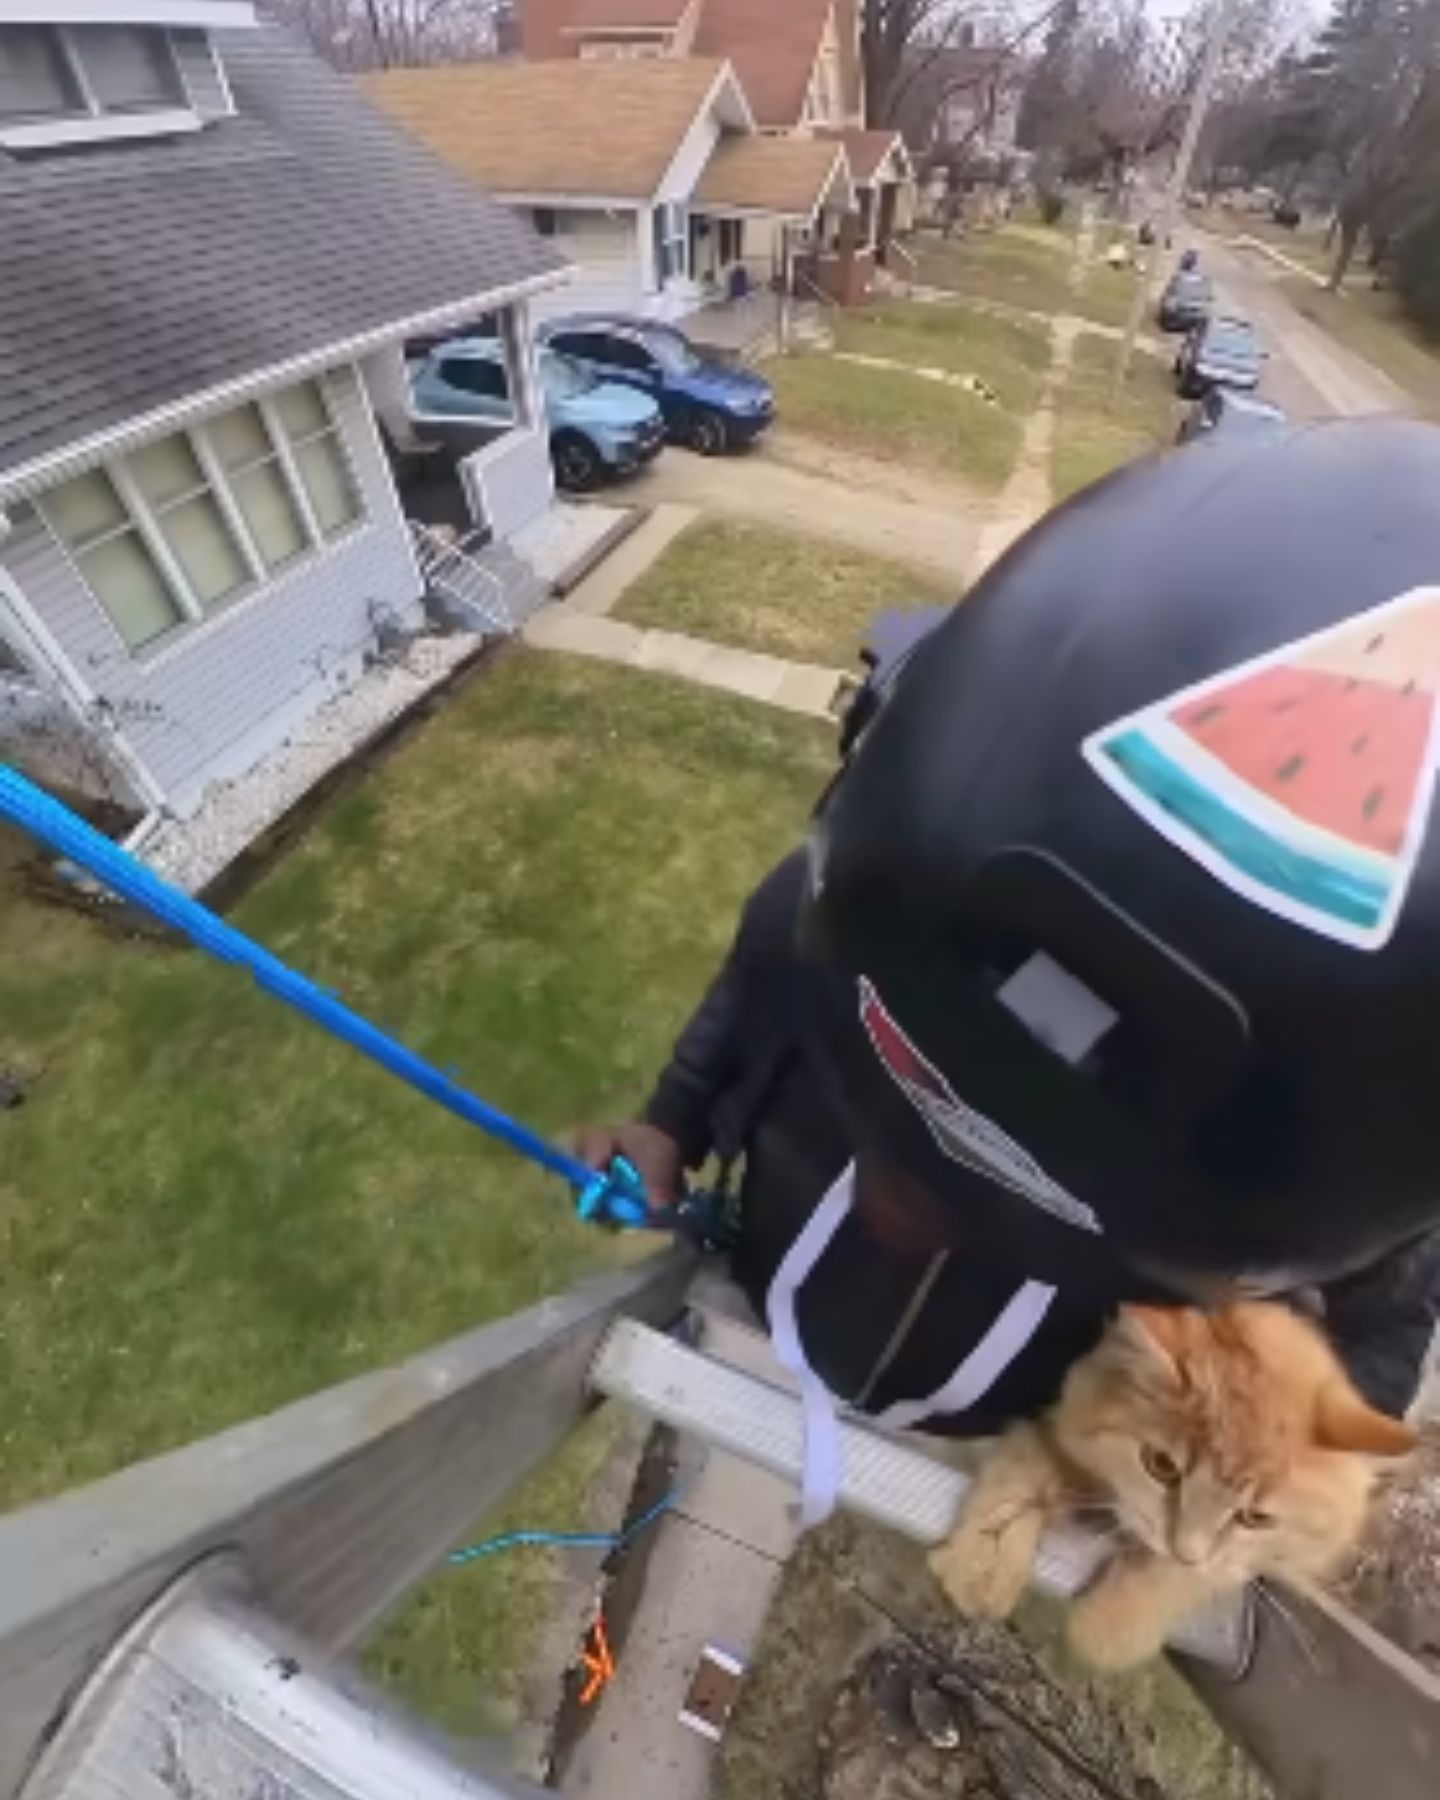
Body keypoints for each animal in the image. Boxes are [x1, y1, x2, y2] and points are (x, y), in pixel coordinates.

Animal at [928, 1303, 1411, 1663]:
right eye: (1161, 1466)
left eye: (1255, 1517)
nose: (1183, 1549)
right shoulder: (1051, 1429)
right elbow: (1024, 1478)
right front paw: (983, 1564)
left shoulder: (1233, 1561)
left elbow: (1182, 1576)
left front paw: (1114, 1623)